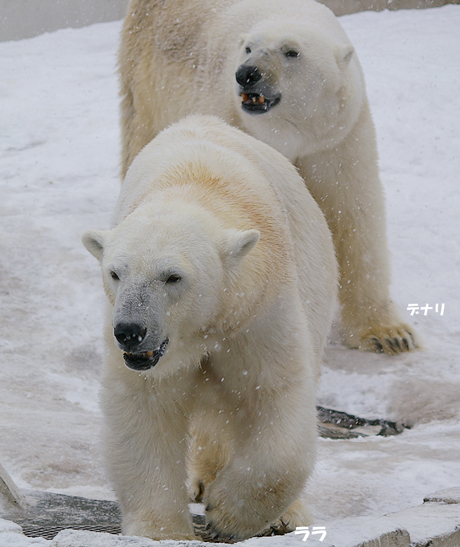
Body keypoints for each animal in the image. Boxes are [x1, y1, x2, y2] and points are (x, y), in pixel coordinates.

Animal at [82, 116, 338, 544]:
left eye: (172, 276)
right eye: (115, 272)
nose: (130, 330)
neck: (197, 186)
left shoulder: (258, 310)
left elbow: (274, 393)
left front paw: (227, 515)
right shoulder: (147, 360)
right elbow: (145, 408)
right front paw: (162, 530)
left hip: (314, 270)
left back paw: (286, 513)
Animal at [119, 0, 420, 356]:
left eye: (292, 52)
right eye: (249, 47)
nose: (247, 74)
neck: (293, 135)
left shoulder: (337, 136)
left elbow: (353, 213)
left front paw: (390, 335)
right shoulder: (226, 111)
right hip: (147, 76)